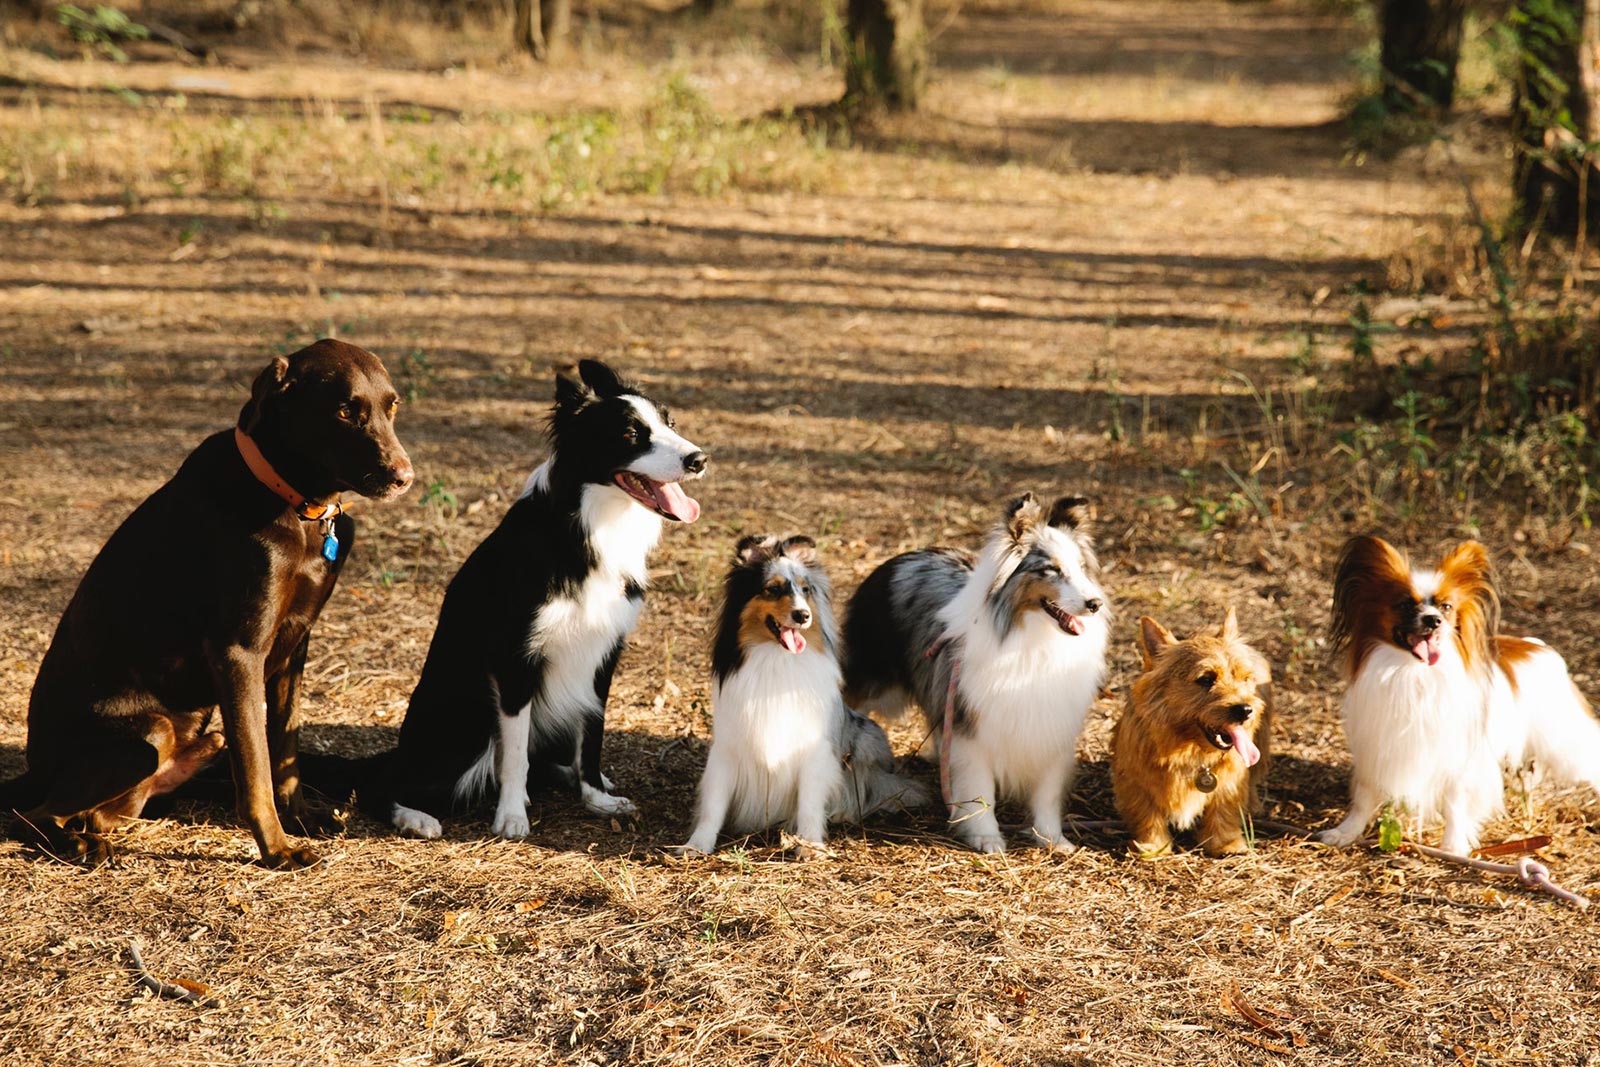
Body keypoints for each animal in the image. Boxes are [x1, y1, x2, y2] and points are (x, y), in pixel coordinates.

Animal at [681, 534, 934, 857]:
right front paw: (697, 844)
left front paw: (810, 844)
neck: (777, 659)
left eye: (805, 589)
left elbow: (810, 802)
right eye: (773, 589)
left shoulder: (814, 750)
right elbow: (714, 802)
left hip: (867, 736)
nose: (802, 615)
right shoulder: (727, 747)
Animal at [838, 495, 1113, 857]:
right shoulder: (973, 729)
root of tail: (900, 557)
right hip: (873, 681)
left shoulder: (1051, 726)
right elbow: (981, 789)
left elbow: (1047, 793)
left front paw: (1052, 838)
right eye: (1050, 570)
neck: (1032, 639)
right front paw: (986, 837)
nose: (1095, 603)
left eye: (1081, 567)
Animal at [1113, 607, 1273, 857]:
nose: (1246, 710)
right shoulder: (1135, 780)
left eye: (1245, 678)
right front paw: (1153, 847)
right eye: (1206, 679)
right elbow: (1147, 814)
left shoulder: (1230, 779)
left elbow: (1224, 809)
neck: (1190, 751)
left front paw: (1227, 844)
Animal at [1318, 537, 1593, 857]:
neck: (1413, 672)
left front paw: (1453, 844)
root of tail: (1536, 646)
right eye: (1404, 604)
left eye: (1446, 607)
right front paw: (1346, 832)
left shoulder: (1459, 755)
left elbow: (1455, 801)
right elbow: (1364, 795)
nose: (1433, 620)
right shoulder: (1375, 747)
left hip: (1565, 746)